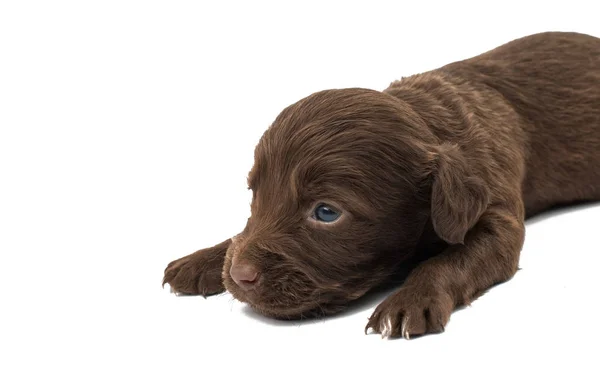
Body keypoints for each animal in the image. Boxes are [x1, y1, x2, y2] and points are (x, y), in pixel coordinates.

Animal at [163, 32, 600, 340]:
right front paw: (202, 259)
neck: (427, 118)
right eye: (255, 196)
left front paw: (410, 299)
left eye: (326, 212)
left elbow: (447, 260)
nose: (240, 276)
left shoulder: (496, 213)